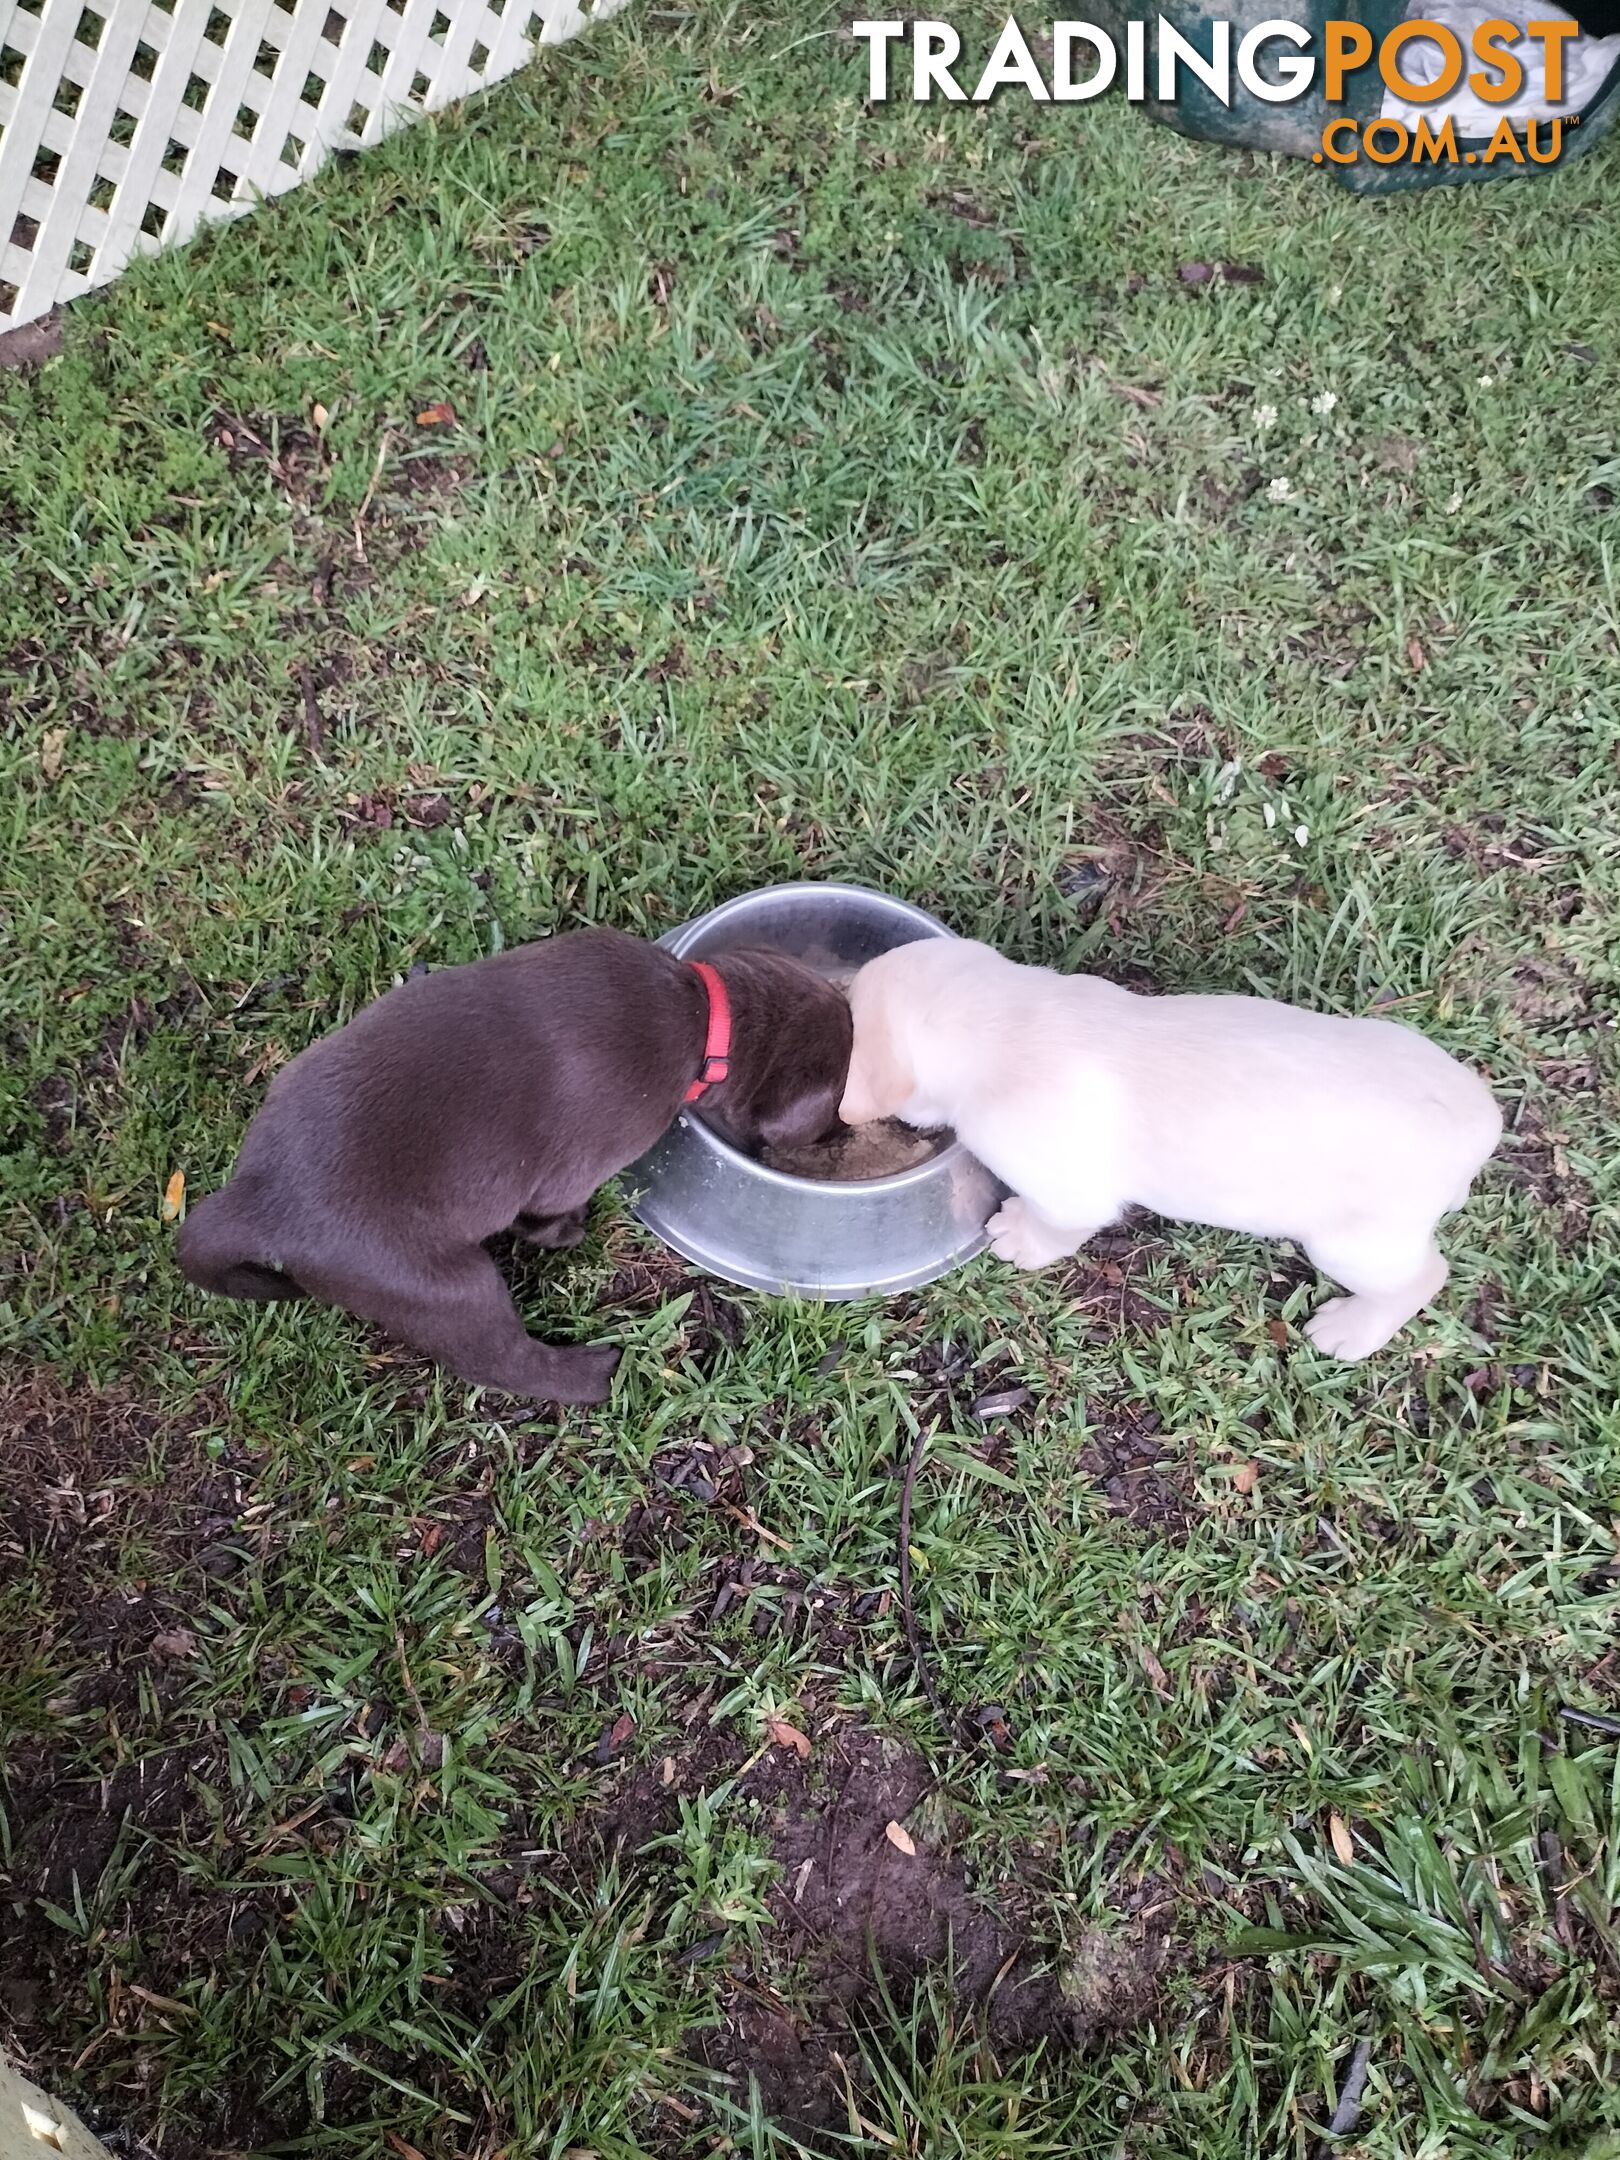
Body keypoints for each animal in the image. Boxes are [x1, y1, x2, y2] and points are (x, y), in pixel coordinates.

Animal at [842, 937, 1503, 1356]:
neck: (1008, 1018)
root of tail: (1480, 1117)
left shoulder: (1068, 1191)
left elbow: (1056, 1226)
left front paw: (1020, 1238)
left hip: (1354, 1244)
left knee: (1424, 1278)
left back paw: (1352, 1330)